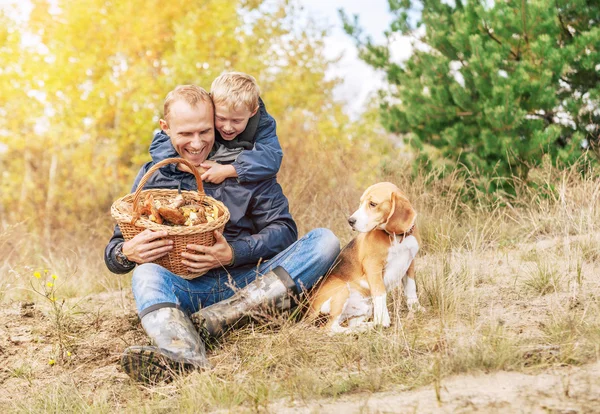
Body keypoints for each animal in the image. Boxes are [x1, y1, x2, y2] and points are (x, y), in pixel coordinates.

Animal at [312, 182, 420, 334]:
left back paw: (367, 326)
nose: (350, 221)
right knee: (330, 328)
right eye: (361, 202)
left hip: (364, 308)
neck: (396, 237)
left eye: (373, 204)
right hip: (342, 290)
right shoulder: (373, 267)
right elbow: (380, 293)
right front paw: (383, 320)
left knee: (349, 323)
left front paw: (416, 308)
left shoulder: (410, 262)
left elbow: (411, 288)